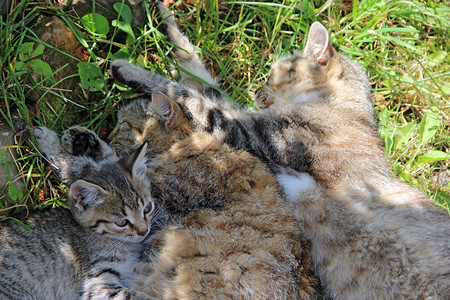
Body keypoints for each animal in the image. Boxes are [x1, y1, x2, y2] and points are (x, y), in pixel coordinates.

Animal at [110, 8, 450, 298]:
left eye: (275, 72)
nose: (256, 91)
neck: (340, 105)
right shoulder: (246, 121)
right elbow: (198, 75)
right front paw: (166, 20)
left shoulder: (251, 133)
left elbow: (185, 92)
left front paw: (128, 69)